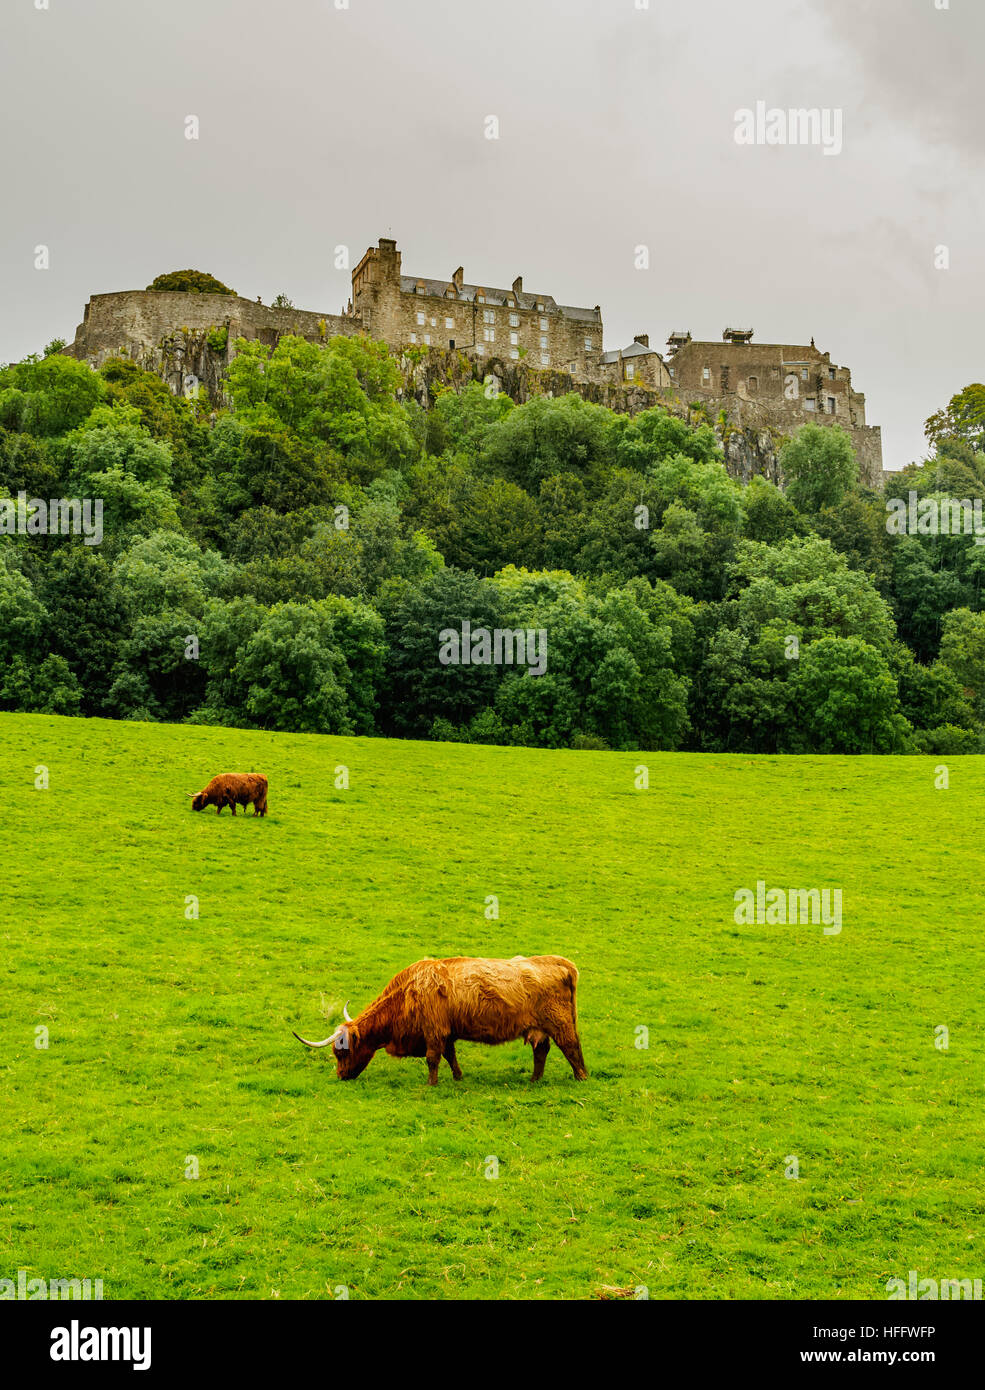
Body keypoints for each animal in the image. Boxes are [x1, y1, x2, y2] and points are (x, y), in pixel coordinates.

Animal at [293, 955, 587, 1086]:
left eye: (341, 1052)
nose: (341, 1075)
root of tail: (561, 962)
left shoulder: (433, 1030)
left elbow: (432, 1058)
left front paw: (431, 1084)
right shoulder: (445, 1031)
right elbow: (449, 1055)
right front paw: (458, 1077)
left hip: (560, 1024)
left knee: (571, 1047)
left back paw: (581, 1077)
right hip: (540, 1029)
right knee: (541, 1051)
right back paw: (535, 1079)